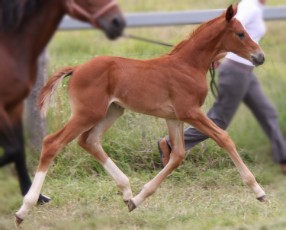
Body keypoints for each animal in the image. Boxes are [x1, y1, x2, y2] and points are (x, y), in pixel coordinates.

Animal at [0, 0, 125, 204]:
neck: (9, 48)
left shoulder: (14, 106)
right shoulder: (2, 108)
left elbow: (18, 151)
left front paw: (36, 196)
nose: (118, 22)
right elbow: (14, 150)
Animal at [15, 4, 266, 226]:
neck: (188, 65)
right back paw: (24, 209)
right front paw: (258, 191)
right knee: (52, 143)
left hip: (112, 110)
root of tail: (76, 69)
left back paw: (127, 192)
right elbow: (223, 137)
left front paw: (137, 199)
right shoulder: (190, 112)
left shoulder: (174, 117)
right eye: (241, 33)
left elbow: (178, 155)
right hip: (87, 113)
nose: (260, 57)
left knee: (89, 141)